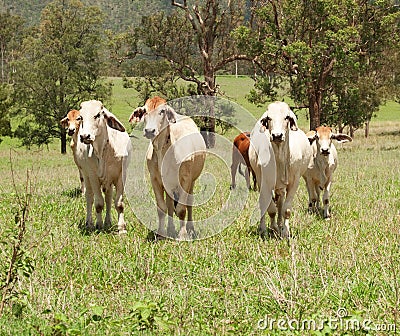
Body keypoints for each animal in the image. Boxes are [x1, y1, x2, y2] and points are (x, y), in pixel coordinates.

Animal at [75, 100, 131, 234]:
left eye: (97, 115)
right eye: (81, 117)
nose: (84, 136)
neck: (103, 151)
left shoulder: (121, 176)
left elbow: (118, 203)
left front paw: (122, 228)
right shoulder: (93, 177)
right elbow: (99, 203)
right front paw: (99, 225)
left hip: (108, 182)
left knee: (109, 197)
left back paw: (108, 222)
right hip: (86, 176)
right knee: (89, 197)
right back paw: (89, 223)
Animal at [130, 96, 206, 240]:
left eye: (162, 111)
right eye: (145, 111)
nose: (149, 131)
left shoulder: (185, 180)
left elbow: (182, 209)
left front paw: (183, 235)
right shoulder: (155, 180)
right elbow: (162, 208)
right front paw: (161, 234)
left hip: (192, 181)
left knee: (189, 203)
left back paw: (190, 228)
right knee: (170, 205)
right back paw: (170, 229)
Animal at [260, 101, 312, 238]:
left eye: (287, 117)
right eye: (269, 118)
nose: (277, 135)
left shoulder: (294, 183)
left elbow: (285, 209)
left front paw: (285, 231)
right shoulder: (265, 183)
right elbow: (271, 209)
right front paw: (271, 229)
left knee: (280, 203)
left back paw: (279, 225)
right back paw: (264, 228)